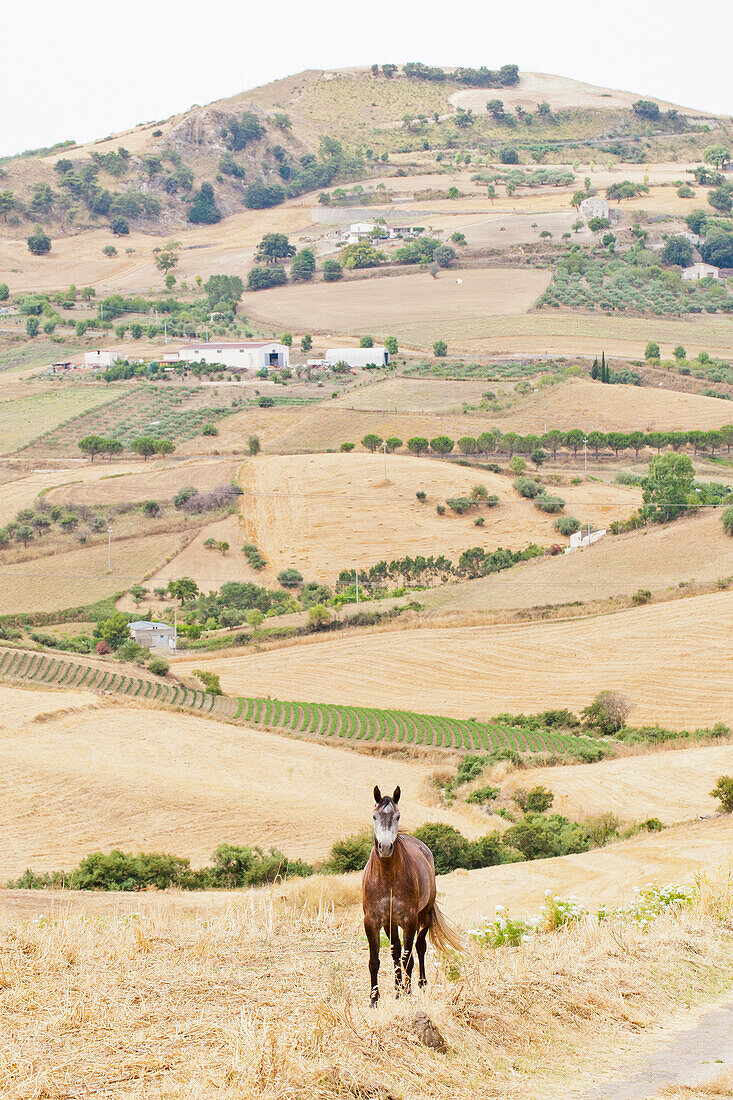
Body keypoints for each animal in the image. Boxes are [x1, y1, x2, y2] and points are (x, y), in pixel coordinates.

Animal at [360, 783, 462, 1007]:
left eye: (397, 816)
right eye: (374, 816)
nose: (385, 847)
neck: (387, 877)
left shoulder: (409, 920)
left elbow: (408, 958)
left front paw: (406, 992)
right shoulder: (373, 921)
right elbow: (376, 960)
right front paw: (374, 999)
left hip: (423, 916)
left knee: (420, 947)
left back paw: (419, 983)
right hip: (390, 923)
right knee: (396, 952)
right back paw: (398, 987)